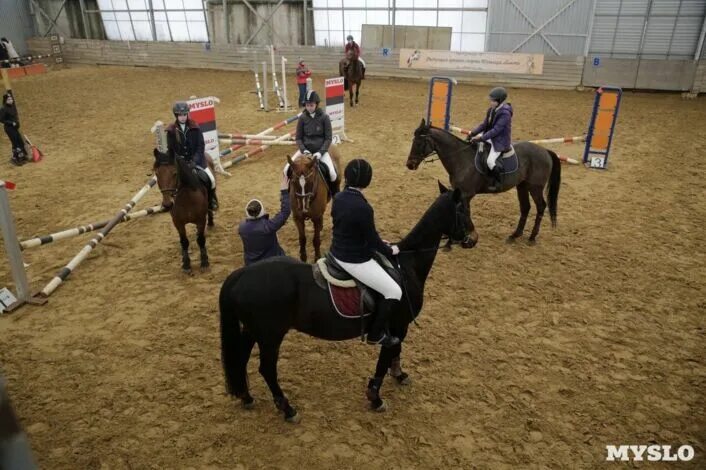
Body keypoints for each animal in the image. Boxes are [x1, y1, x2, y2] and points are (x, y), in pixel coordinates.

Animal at [214, 182, 468, 420]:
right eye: (463, 211)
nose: (471, 239)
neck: (406, 265)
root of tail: (241, 274)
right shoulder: (396, 325)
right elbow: (387, 355)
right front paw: (376, 397)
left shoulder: (399, 326)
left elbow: (395, 350)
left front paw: (399, 375)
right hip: (270, 336)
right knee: (266, 369)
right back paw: (288, 409)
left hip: (252, 330)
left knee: (241, 357)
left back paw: (247, 397)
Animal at [404, 119, 560, 248]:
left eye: (419, 143)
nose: (410, 165)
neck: (460, 159)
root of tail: (545, 151)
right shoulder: (459, 194)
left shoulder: (466, 194)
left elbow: (466, 213)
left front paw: (468, 239)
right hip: (522, 186)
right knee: (525, 207)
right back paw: (514, 235)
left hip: (535, 188)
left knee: (541, 207)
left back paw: (532, 237)